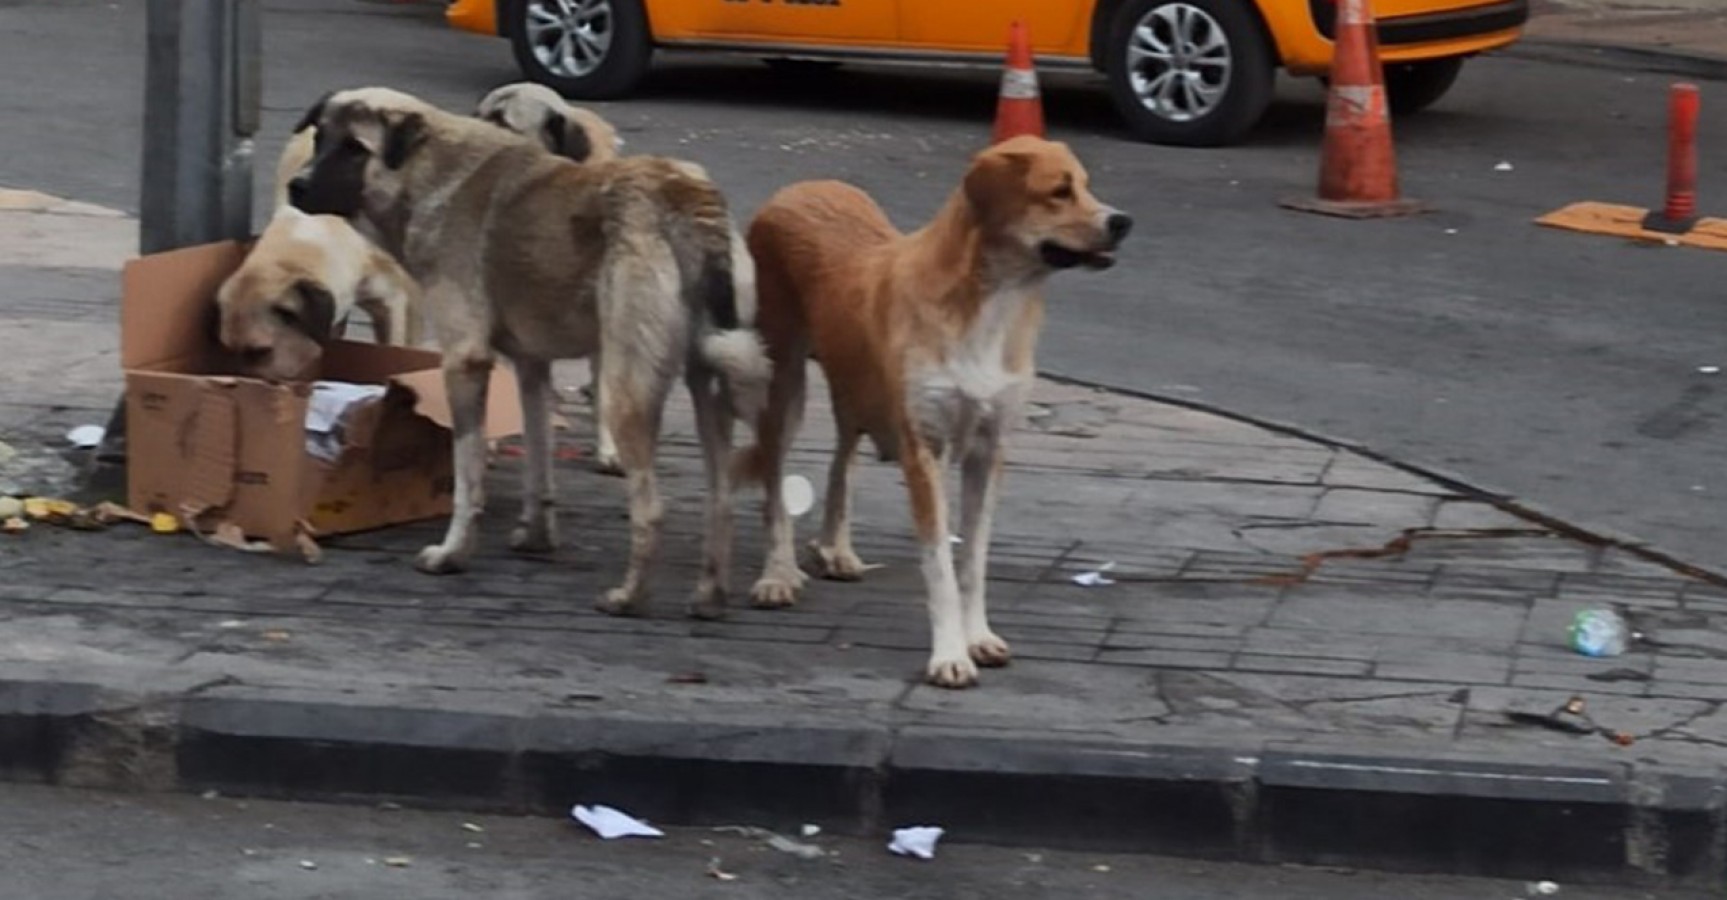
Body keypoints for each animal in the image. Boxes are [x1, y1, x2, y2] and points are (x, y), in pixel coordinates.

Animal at [288, 87, 770, 621]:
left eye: (356, 148)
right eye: (320, 137)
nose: (296, 187)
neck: (429, 171)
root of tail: (682, 196)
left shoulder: (464, 363)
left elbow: (468, 474)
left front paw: (453, 553)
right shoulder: (532, 368)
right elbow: (539, 462)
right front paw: (537, 535)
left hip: (625, 389)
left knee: (651, 506)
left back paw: (630, 595)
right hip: (709, 385)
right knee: (721, 498)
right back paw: (710, 596)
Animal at [732, 134, 1126, 687]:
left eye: (1086, 186)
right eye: (1059, 191)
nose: (1123, 222)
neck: (990, 305)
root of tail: (800, 186)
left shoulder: (989, 447)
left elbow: (974, 559)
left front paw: (978, 636)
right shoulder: (925, 448)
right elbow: (939, 561)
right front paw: (950, 655)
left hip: (858, 385)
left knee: (842, 455)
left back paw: (837, 548)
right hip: (785, 380)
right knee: (773, 479)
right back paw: (779, 574)